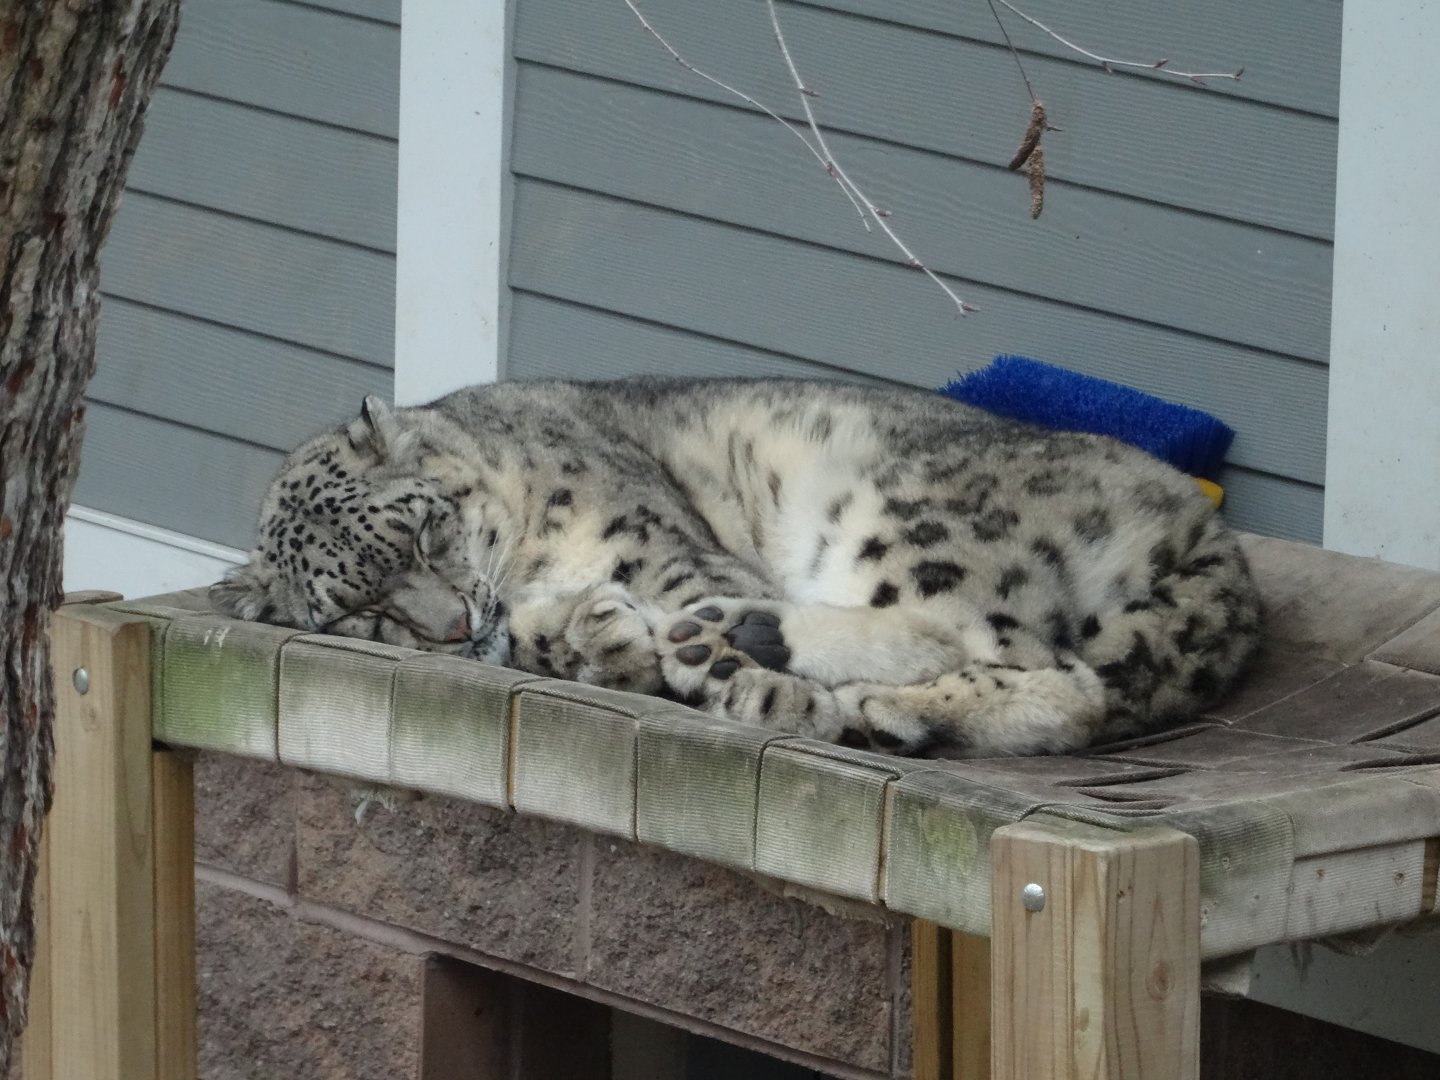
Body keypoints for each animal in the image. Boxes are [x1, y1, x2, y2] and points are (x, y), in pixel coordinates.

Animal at [210, 377, 1261, 757]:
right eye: (364, 612)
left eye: (423, 533)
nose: (454, 627)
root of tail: (1208, 529)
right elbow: (556, 634)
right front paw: (593, 638)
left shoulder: (658, 543)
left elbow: (671, 582)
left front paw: (734, 673)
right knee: (1062, 682)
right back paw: (883, 712)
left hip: (902, 515)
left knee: (1029, 658)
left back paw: (750, 646)